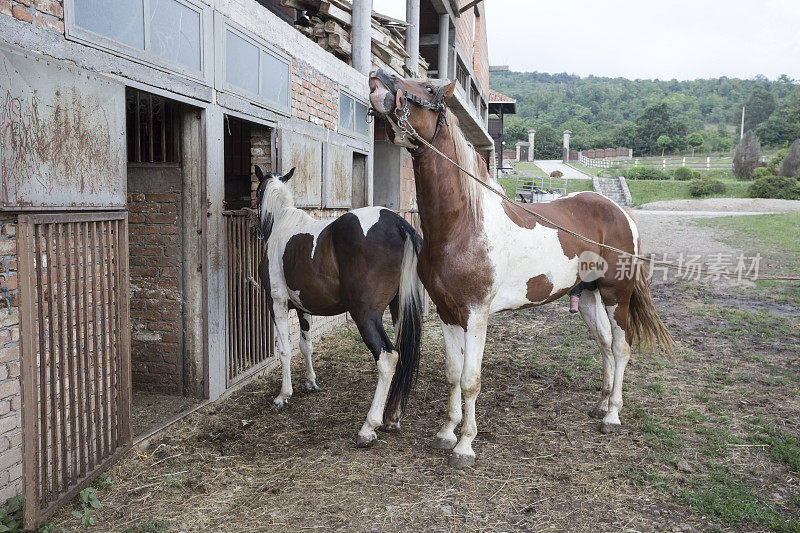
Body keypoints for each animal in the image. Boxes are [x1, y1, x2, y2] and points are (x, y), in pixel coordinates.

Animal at [255, 166, 428, 444]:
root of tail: (399, 224)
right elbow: (305, 346)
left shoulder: (277, 303)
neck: (282, 224)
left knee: (387, 357)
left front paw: (284, 395)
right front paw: (311, 382)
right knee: (402, 352)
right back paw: (393, 418)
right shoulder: (302, 308)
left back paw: (369, 427)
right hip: (398, 309)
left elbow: (284, 350)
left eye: (257, 192)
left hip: (366, 316)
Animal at [368, 69, 676, 466]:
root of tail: (619, 211)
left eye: (430, 87)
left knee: (622, 348)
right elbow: (453, 375)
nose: (378, 78)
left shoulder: (476, 314)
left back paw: (612, 415)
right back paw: (602, 403)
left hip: (615, 295)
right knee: (605, 345)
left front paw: (465, 445)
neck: (464, 224)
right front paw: (445, 433)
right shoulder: (447, 313)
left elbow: (471, 380)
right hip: (587, 297)